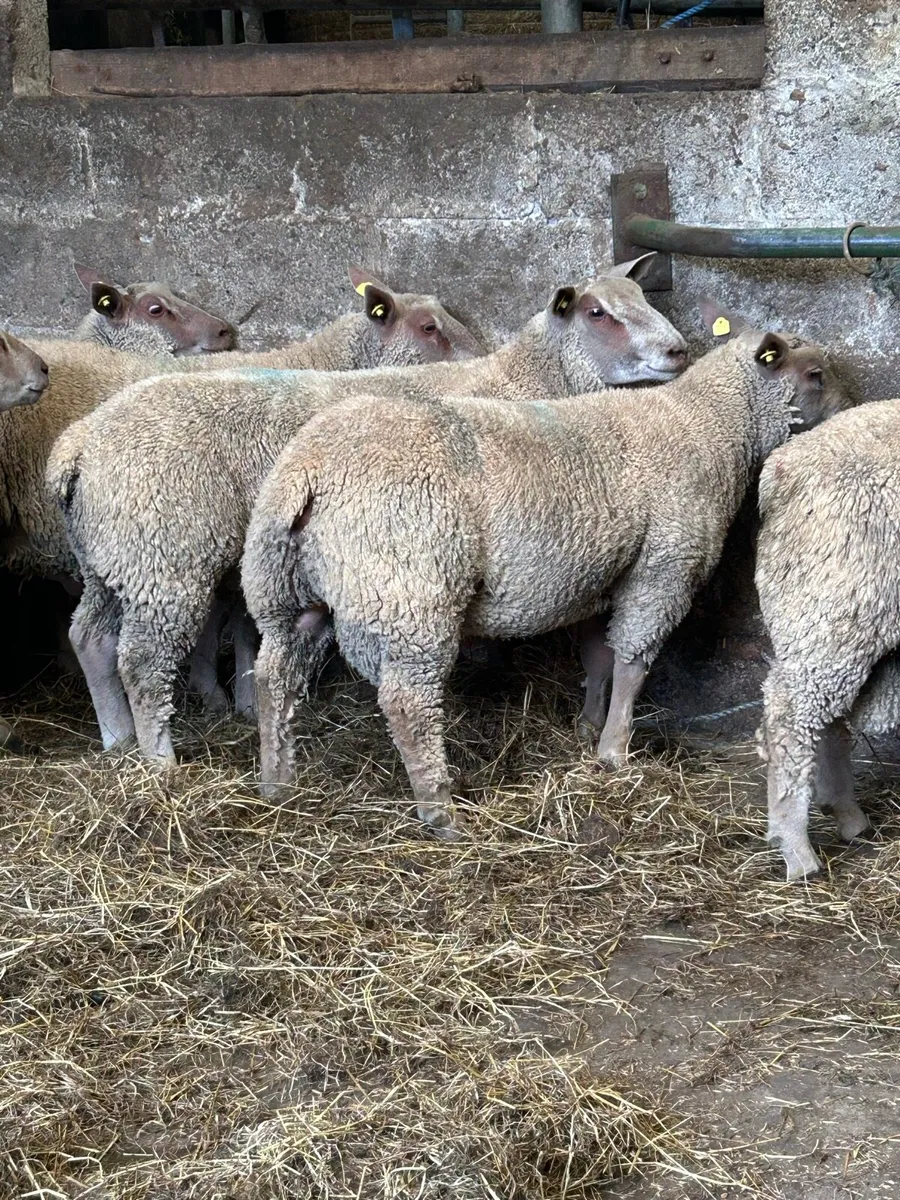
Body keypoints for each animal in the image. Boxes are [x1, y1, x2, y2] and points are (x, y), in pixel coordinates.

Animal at [240, 309, 849, 838]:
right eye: (815, 374)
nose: (852, 409)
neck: (710, 426)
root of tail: (308, 470)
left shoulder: (602, 573)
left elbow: (600, 656)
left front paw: (588, 727)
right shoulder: (664, 568)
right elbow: (633, 662)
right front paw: (615, 751)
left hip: (289, 587)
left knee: (274, 675)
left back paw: (277, 781)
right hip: (412, 594)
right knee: (407, 704)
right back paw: (441, 812)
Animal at [755, 398, 900, 880]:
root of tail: (783, 468)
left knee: (829, 717)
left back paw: (847, 815)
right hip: (833, 605)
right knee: (792, 718)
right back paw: (797, 850)